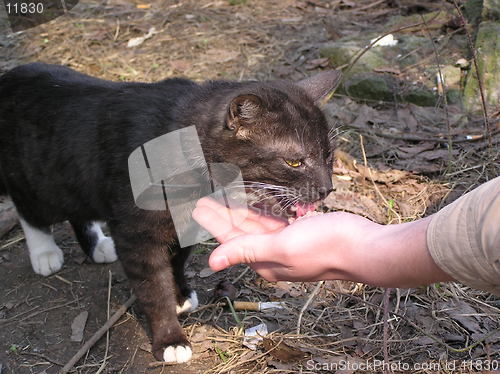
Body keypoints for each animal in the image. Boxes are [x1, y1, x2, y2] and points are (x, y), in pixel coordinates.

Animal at [0, 63, 340, 362]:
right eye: (294, 162)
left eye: (328, 156)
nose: (327, 188)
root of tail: (11, 76)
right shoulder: (138, 234)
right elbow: (153, 285)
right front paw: (171, 340)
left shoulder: (185, 223)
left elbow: (177, 259)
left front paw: (180, 296)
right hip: (37, 178)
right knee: (29, 209)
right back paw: (44, 253)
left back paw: (98, 246)